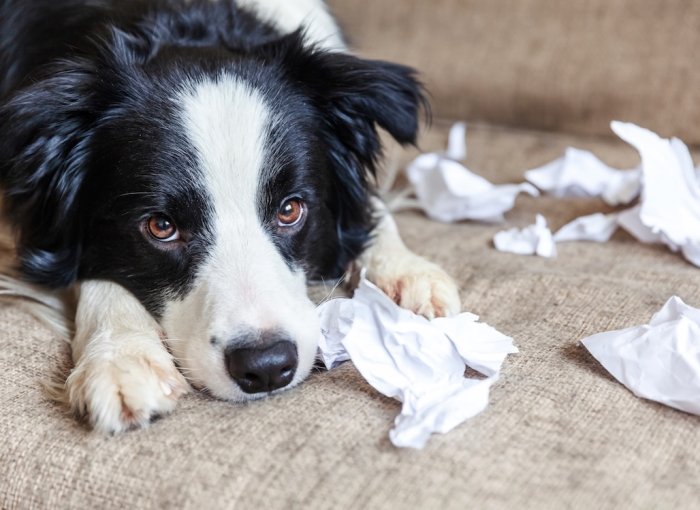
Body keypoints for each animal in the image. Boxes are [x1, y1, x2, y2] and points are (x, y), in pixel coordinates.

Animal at [0, 0, 462, 434]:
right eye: (161, 227)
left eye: (290, 209)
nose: (267, 366)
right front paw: (120, 358)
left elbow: (370, 207)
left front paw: (406, 273)